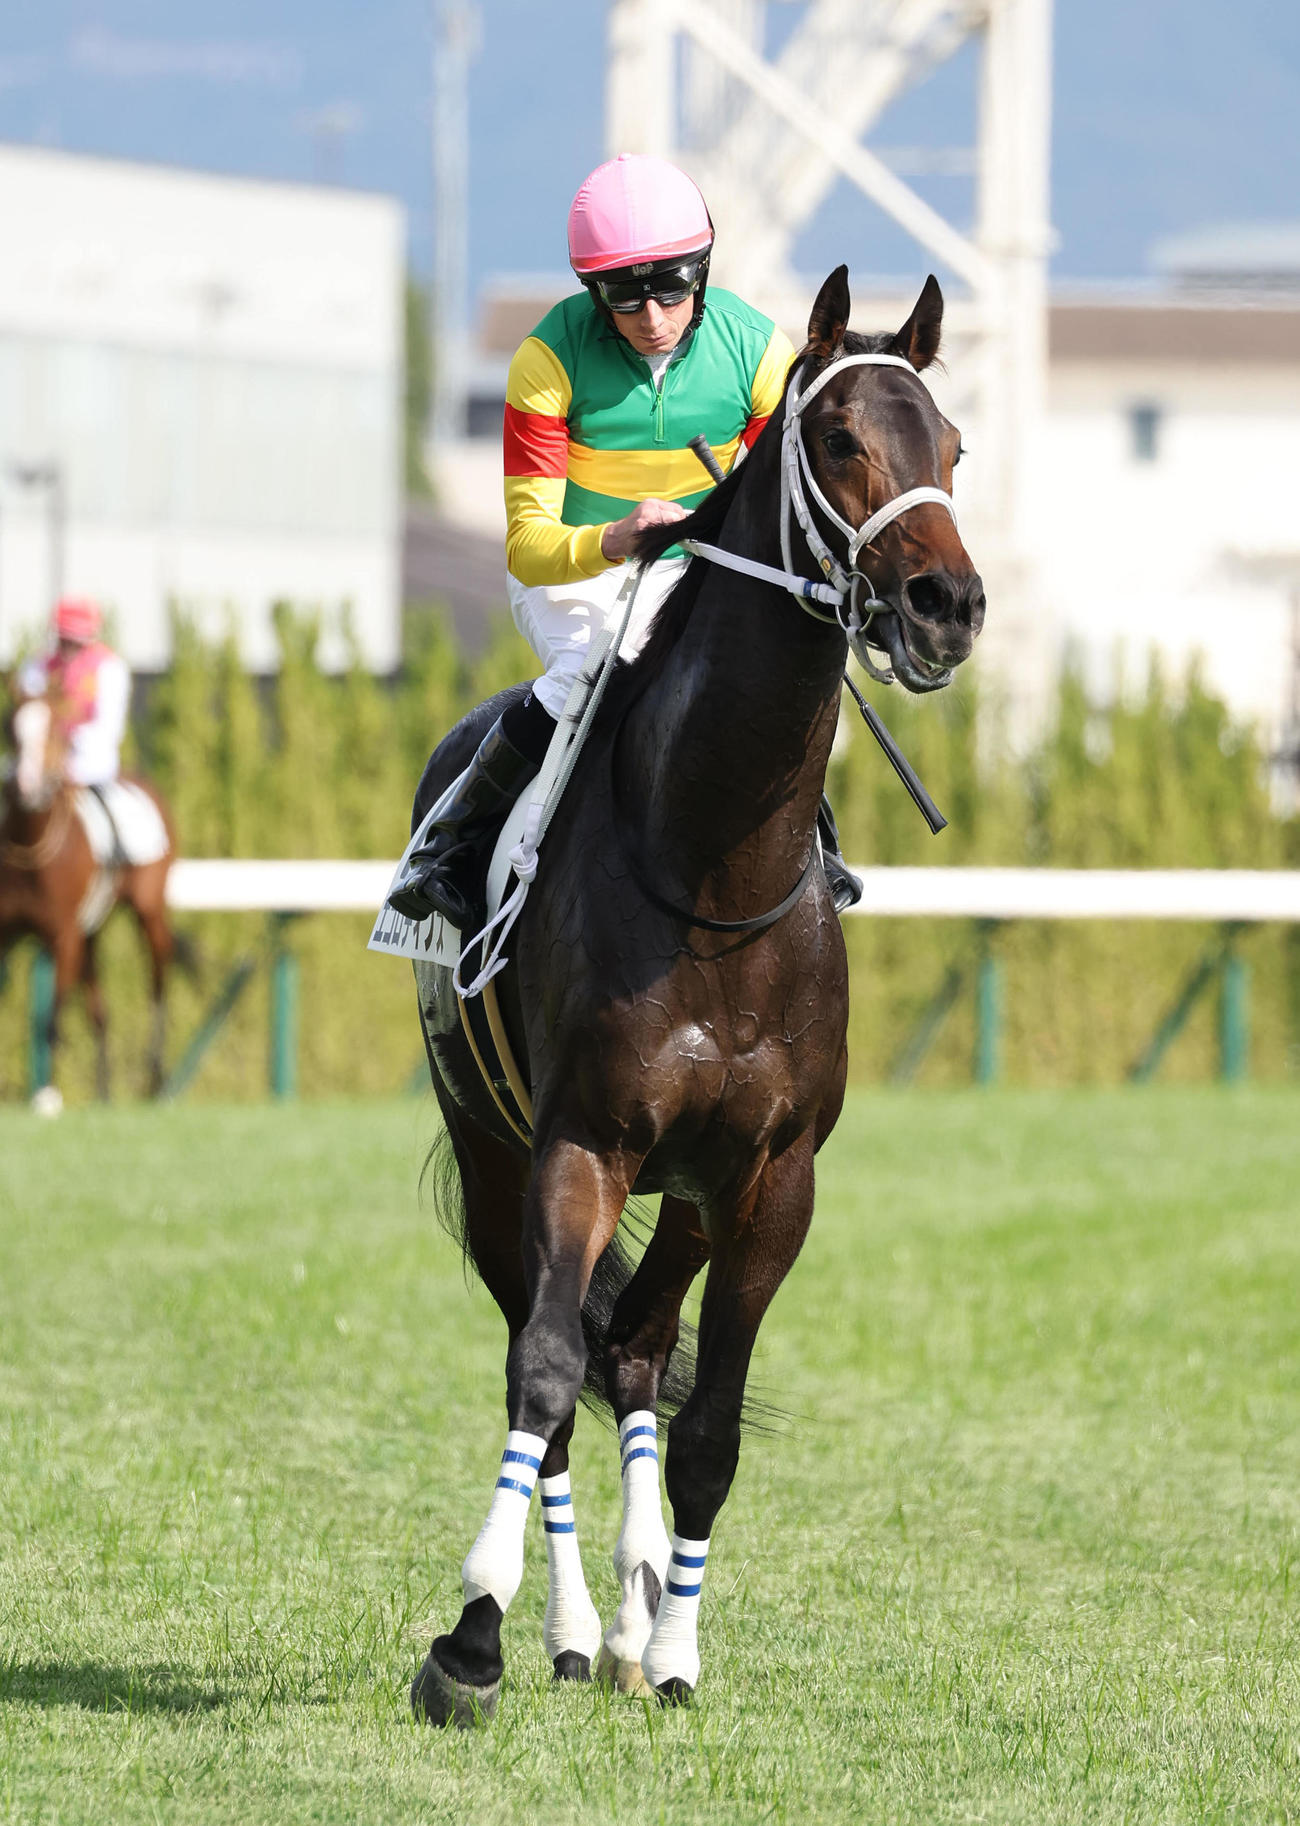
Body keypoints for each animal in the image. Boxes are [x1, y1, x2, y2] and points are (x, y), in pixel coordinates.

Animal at [0, 688, 183, 1104]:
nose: (27, 786)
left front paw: (47, 1094)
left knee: (158, 979)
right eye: (9, 726)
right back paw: (104, 1092)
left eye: (56, 728)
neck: (30, 846)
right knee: (100, 1010)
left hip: (149, 912)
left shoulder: (63, 936)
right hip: (92, 930)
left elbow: (52, 1018)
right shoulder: (9, 934)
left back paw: (155, 1079)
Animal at [409, 266, 985, 1724]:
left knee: (633, 1346)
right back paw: (567, 1625)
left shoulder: (772, 1176)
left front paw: (671, 1645)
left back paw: (626, 1619)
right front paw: (472, 1637)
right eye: (837, 440)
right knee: (561, 1350)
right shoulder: (580, 1140)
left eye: (953, 447)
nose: (946, 604)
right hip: (492, 1147)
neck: (718, 866)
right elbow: (541, 1368)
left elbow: (709, 1422)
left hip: (688, 1190)